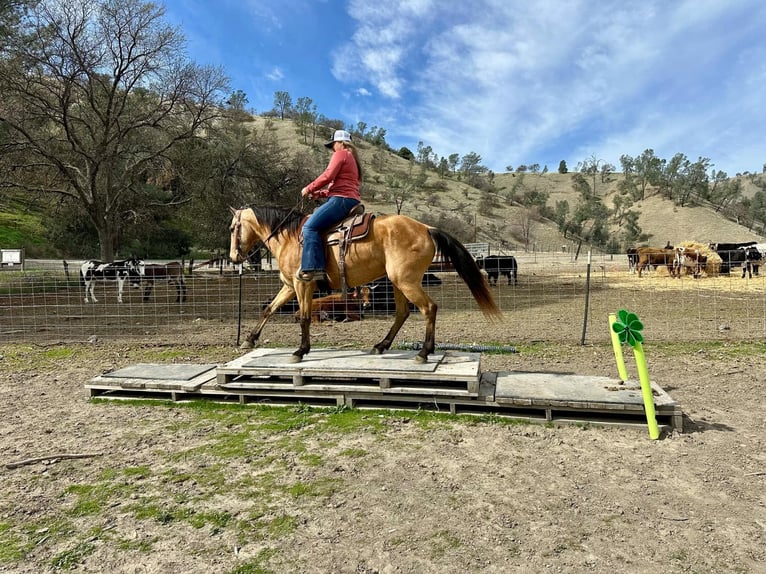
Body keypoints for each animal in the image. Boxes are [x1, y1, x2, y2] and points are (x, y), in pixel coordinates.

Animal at [229, 206, 501, 363]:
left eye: (233, 227)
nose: (233, 257)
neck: (289, 237)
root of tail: (426, 228)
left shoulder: (302, 284)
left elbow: (305, 318)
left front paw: (300, 351)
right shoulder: (289, 286)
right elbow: (269, 309)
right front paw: (249, 340)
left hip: (406, 282)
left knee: (429, 308)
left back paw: (424, 352)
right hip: (398, 283)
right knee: (402, 313)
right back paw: (382, 345)